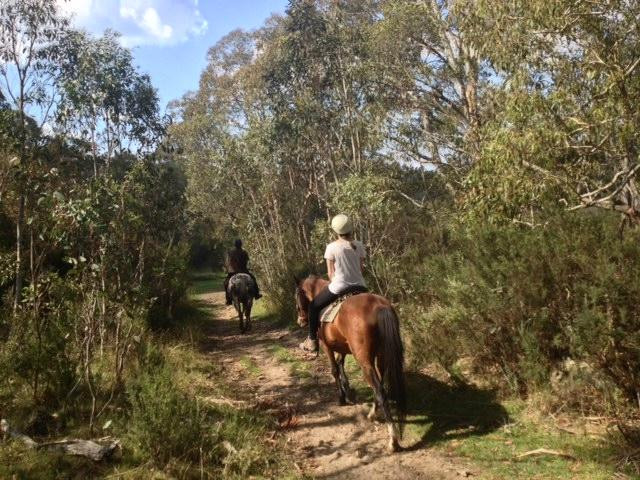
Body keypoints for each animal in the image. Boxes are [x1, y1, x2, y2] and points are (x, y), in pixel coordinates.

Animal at [294, 275, 406, 452]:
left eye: (297, 298)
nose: (301, 321)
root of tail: (379, 306)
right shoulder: (342, 346)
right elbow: (341, 364)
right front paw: (348, 390)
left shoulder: (326, 346)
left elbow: (334, 369)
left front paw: (341, 397)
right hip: (381, 355)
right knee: (381, 385)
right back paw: (372, 415)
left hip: (364, 359)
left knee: (379, 389)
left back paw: (392, 440)